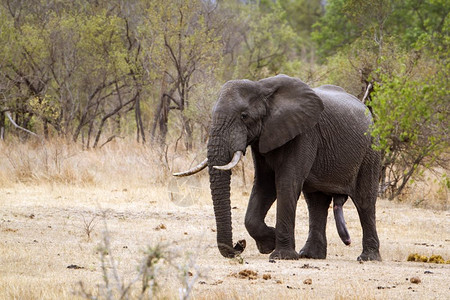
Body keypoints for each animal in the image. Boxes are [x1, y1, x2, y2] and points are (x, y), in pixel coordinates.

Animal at [174, 74, 382, 262]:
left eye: (244, 116)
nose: (240, 244)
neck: (262, 88)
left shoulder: (304, 134)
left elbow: (286, 183)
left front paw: (281, 255)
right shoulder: (264, 137)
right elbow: (264, 185)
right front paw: (269, 243)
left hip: (371, 149)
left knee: (364, 201)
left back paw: (368, 258)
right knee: (316, 202)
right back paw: (310, 255)